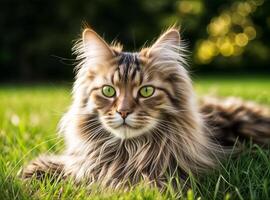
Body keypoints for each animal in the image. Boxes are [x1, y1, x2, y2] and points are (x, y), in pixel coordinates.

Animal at [21, 26, 270, 191]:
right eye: (109, 91)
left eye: (146, 91)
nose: (123, 112)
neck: (129, 150)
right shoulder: (85, 162)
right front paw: (32, 172)